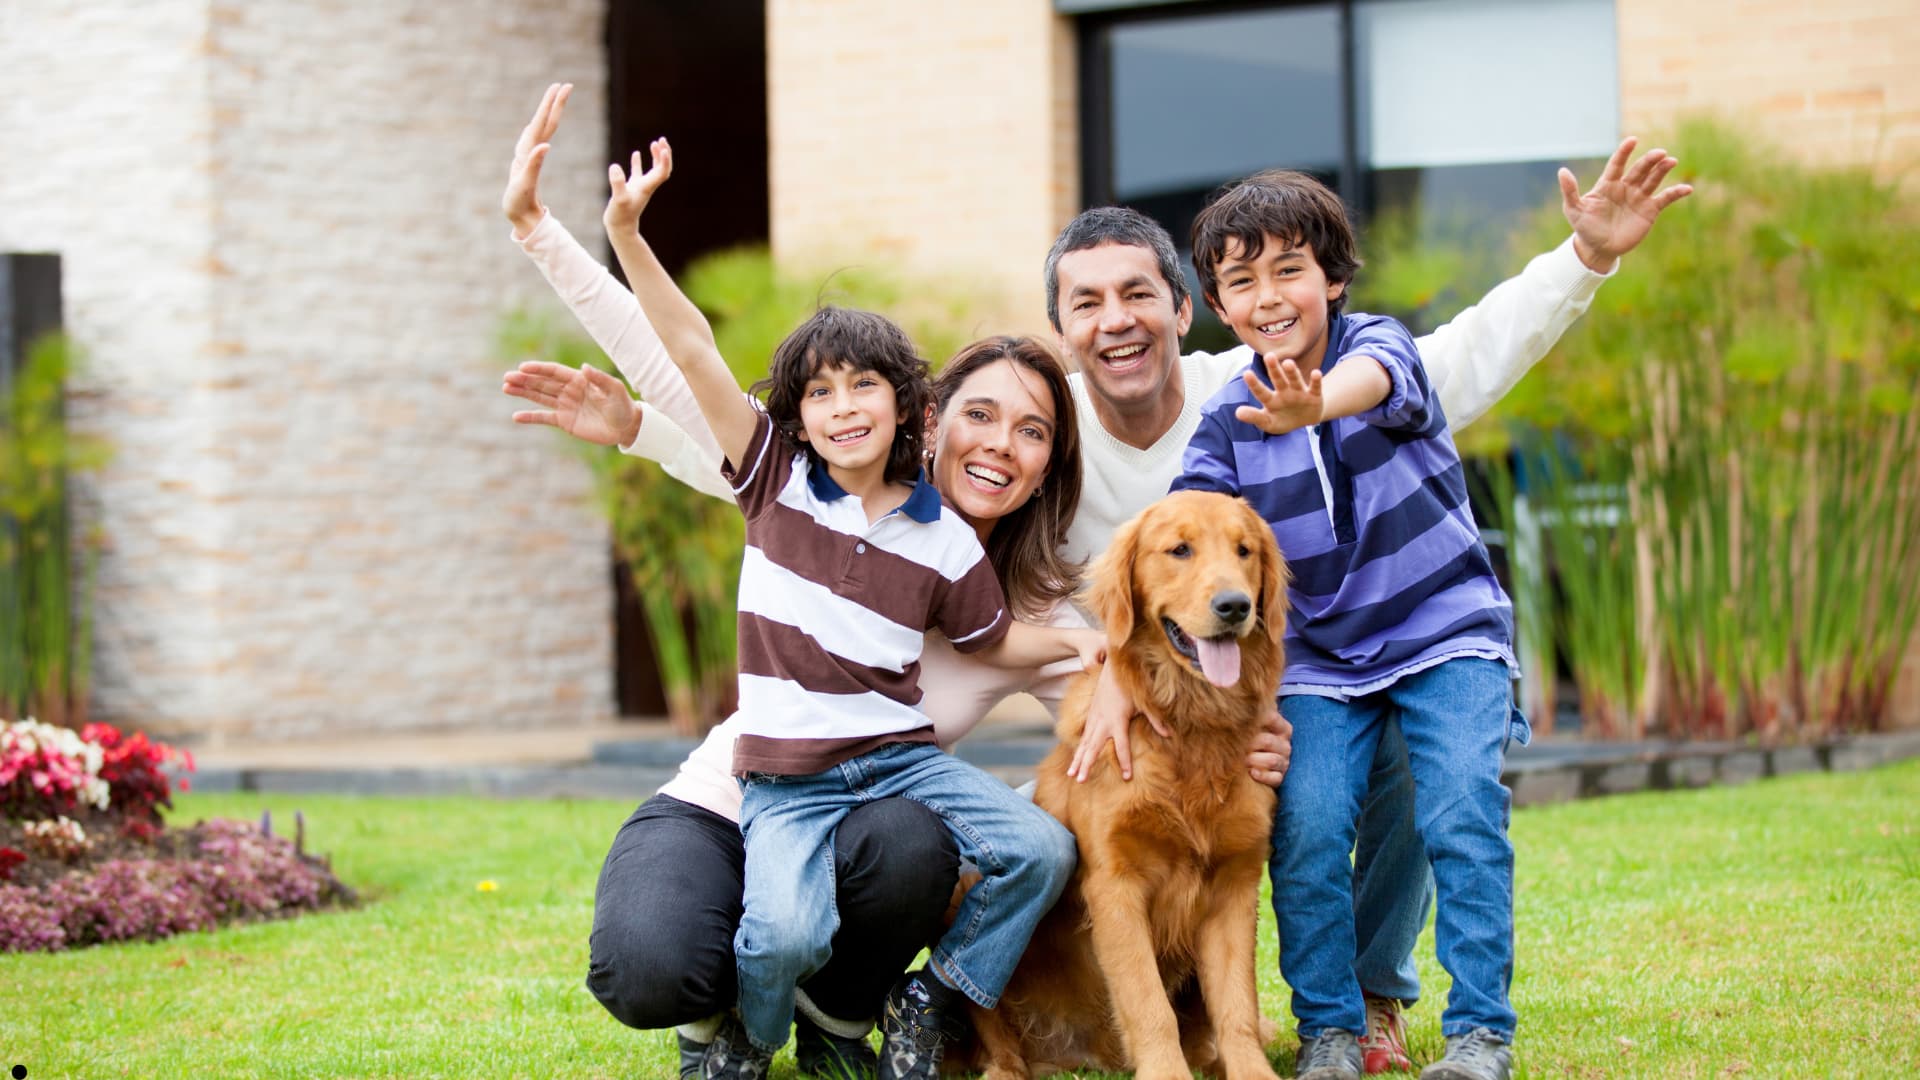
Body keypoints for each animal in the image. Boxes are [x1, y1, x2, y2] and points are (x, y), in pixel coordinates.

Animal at [967, 490, 1282, 1076]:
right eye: (1179, 549)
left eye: (1244, 551)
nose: (1235, 606)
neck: (1189, 725)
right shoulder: (1115, 885)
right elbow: (1146, 1001)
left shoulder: (1235, 882)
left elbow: (1237, 1005)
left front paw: (1251, 1071)